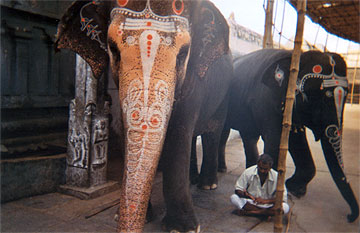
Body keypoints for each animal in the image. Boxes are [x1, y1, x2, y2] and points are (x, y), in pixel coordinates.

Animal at [54, 0, 232, 232]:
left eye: (183, 53)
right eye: (113, 49)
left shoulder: (194, 82)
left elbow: (179, 133)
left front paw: (183, 228)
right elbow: (125, 127)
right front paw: (126, 217)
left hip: (224, 97)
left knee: (212, 133)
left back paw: (207, 185)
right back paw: (193, 179)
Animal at [194, 48, 360, 222]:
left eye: (347, 94)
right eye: (317, 95)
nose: (349, 217)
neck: (296, 56)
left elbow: (295, 138)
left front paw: (295, 189)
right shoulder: (266, 99)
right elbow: (275, 138)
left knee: (246, 135)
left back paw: (239, 169)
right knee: (225, 131)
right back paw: (226, 171)